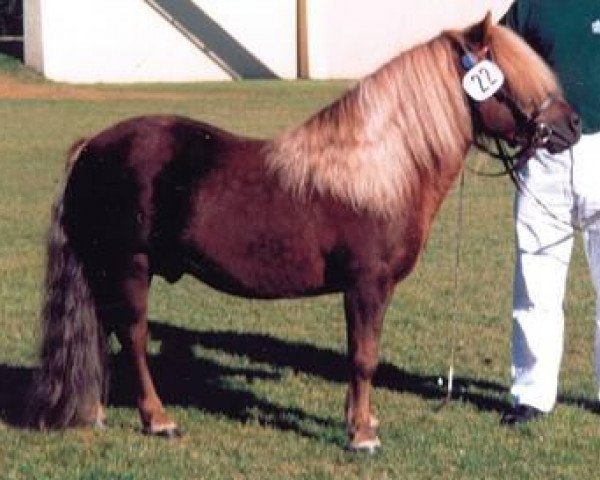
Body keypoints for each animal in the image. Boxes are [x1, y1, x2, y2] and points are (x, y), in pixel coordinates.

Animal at [28, 14, 580, 450]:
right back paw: (158, 420)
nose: (572, 127)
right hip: (129, 265)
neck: (379, 167)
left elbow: (359, 358)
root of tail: (93, 145)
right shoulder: (366, 286)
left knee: (103, 333)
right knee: (134, 336)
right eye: (514, 76)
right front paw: (362, 436)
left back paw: (97, 411)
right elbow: (364, 358)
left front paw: (360, 420)